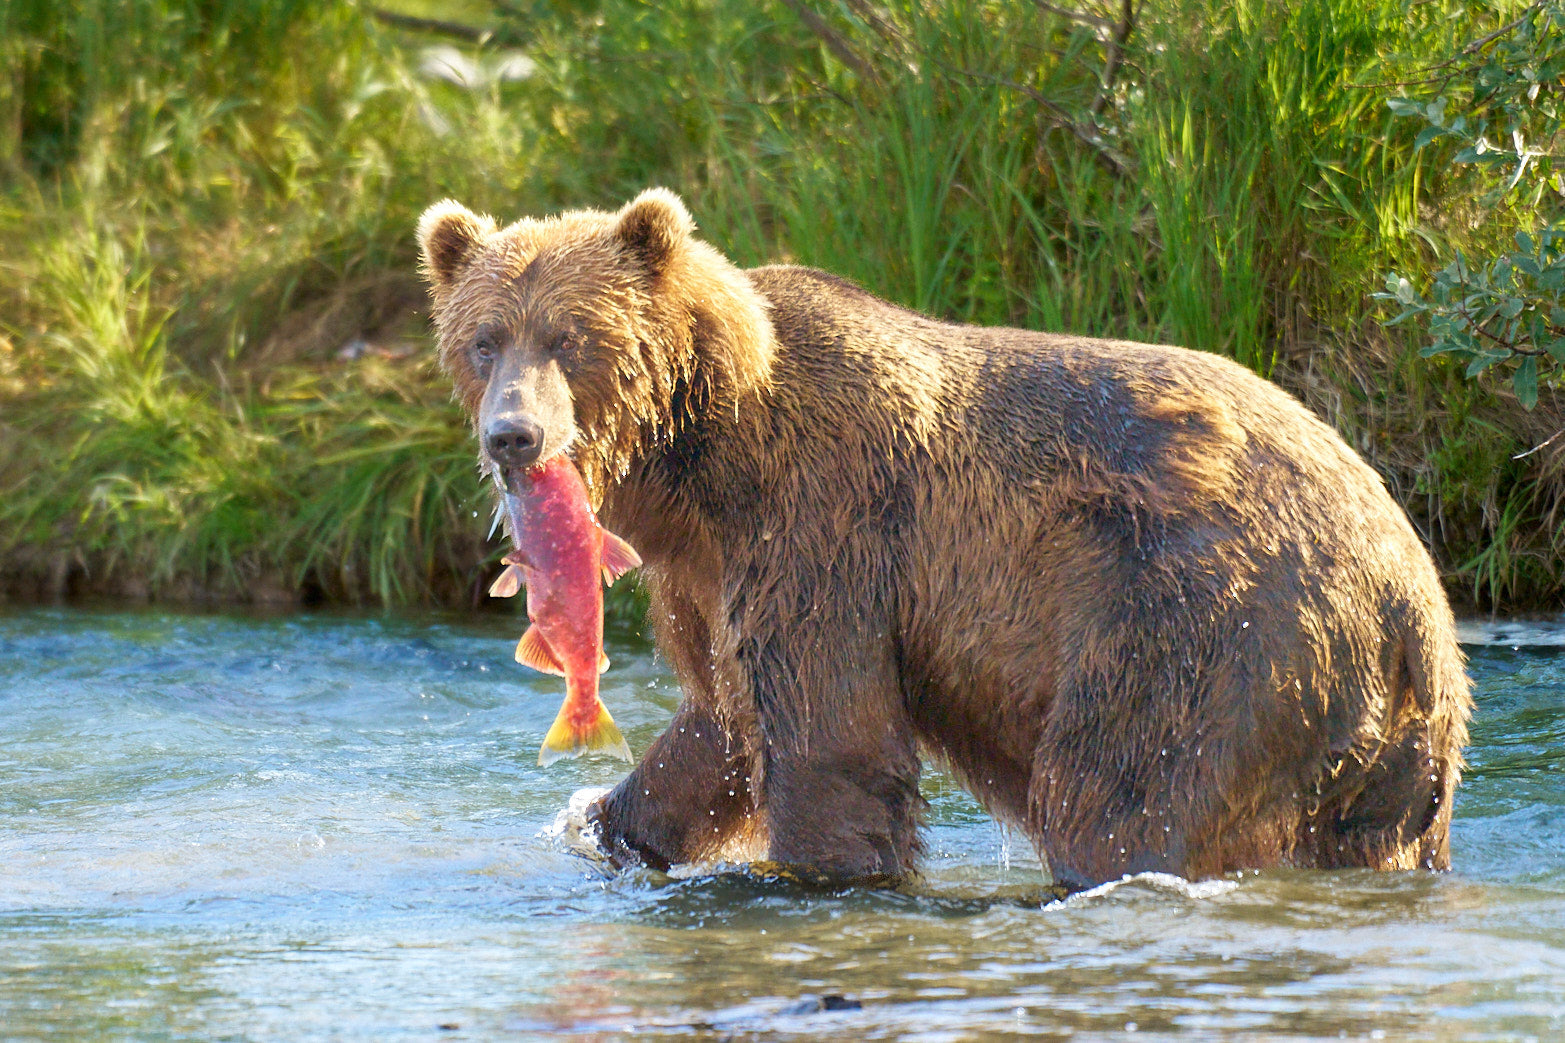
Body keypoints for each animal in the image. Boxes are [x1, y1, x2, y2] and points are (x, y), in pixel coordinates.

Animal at [416, 188, 1472, 891]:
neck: (703, 458)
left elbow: (825, 732)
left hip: (1205, 619)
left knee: (1117, 788)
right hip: (1383, 752)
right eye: (484, 339)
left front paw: (823, 871)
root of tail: (1413, 592)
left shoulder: (823, 522)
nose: (513, 435)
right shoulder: (705, 572)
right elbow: (716, 722)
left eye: (570, 337)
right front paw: (609, 822)